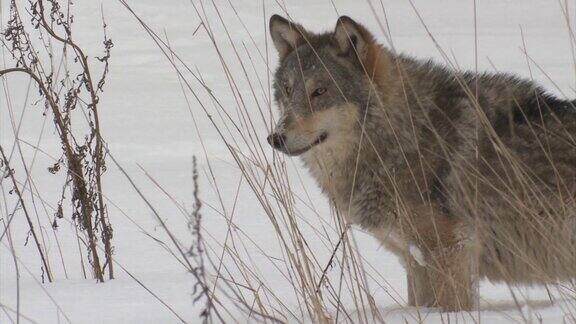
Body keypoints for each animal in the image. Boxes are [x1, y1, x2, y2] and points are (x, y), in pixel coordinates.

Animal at [268, 15, 576, 312]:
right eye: (288, 90)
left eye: (320, 91)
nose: (275, 137)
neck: (404, 135)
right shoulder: (415, 260)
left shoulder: (451, 251)